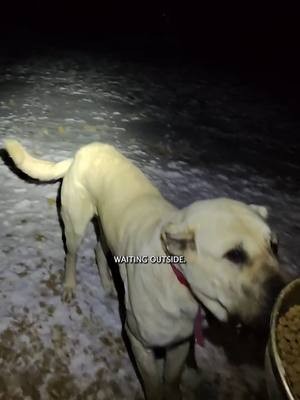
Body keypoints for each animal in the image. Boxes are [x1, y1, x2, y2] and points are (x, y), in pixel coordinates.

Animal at [5, 141, 286, 400]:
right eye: (235, 255)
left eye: (274, 246)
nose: (280, 295)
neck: (179, 278)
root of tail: (81, 152)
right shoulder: (138, 341)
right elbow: (153, 384)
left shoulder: (179, 345)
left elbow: (172, 381)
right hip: (75, 226)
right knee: (72, 256)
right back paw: (69, 286)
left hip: (107, 229)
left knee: (98, 251)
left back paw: (108, 284)